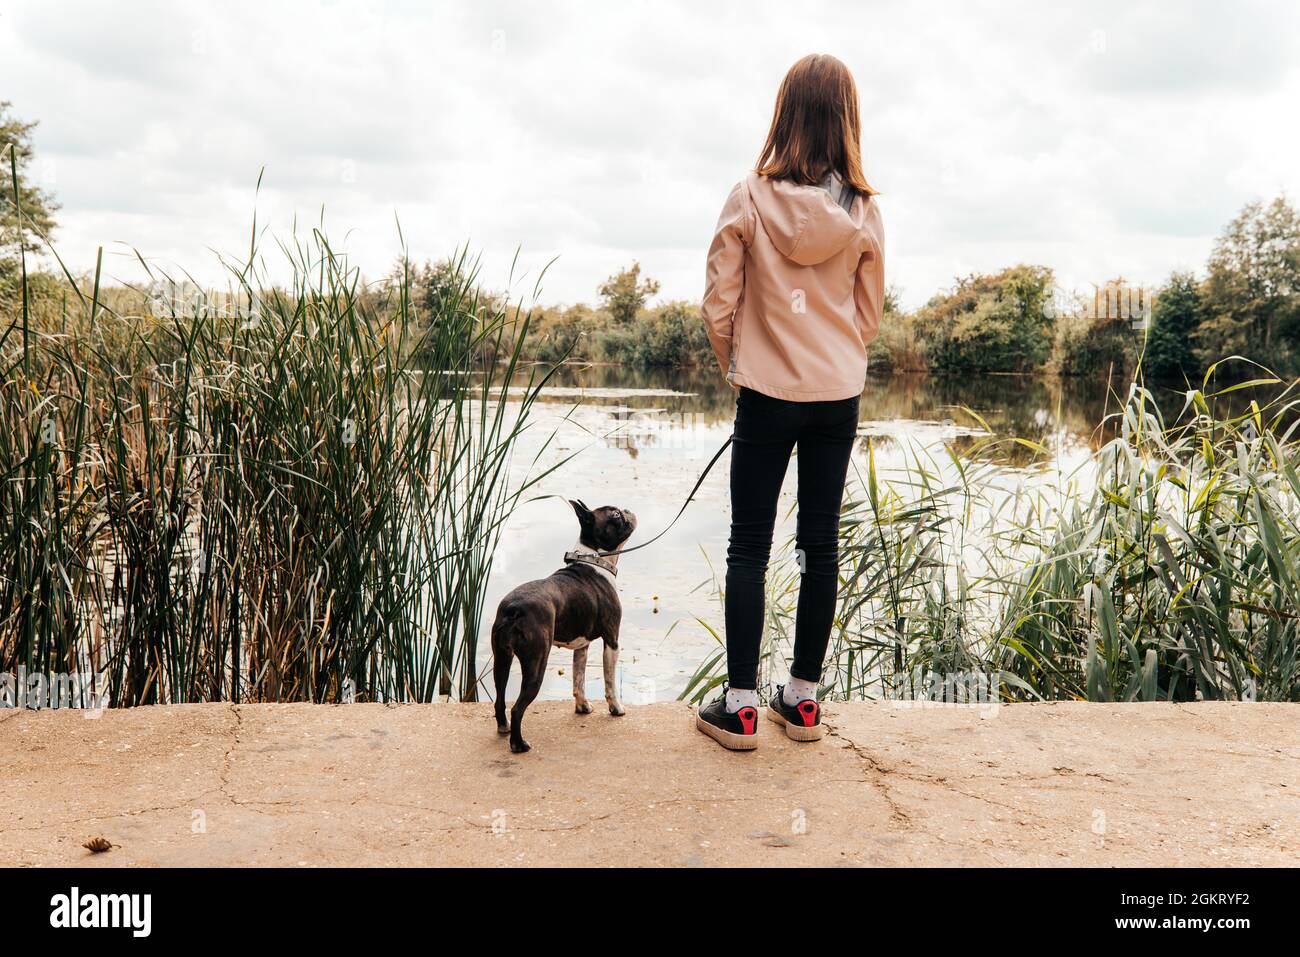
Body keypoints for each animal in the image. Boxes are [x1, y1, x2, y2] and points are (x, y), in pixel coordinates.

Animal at [488, 501, 637, 754]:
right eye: (616, 515)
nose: (627, 509)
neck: (594, 558)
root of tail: (513, 609)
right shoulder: (612, 639)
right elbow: (609, 680)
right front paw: (616, 708)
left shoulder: (582, 646)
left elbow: (579, 679)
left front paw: (583, 707)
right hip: (536, 663)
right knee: (517, 708)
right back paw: (519, 745)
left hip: (502, 658)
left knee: (500, 698)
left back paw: (504, 728)